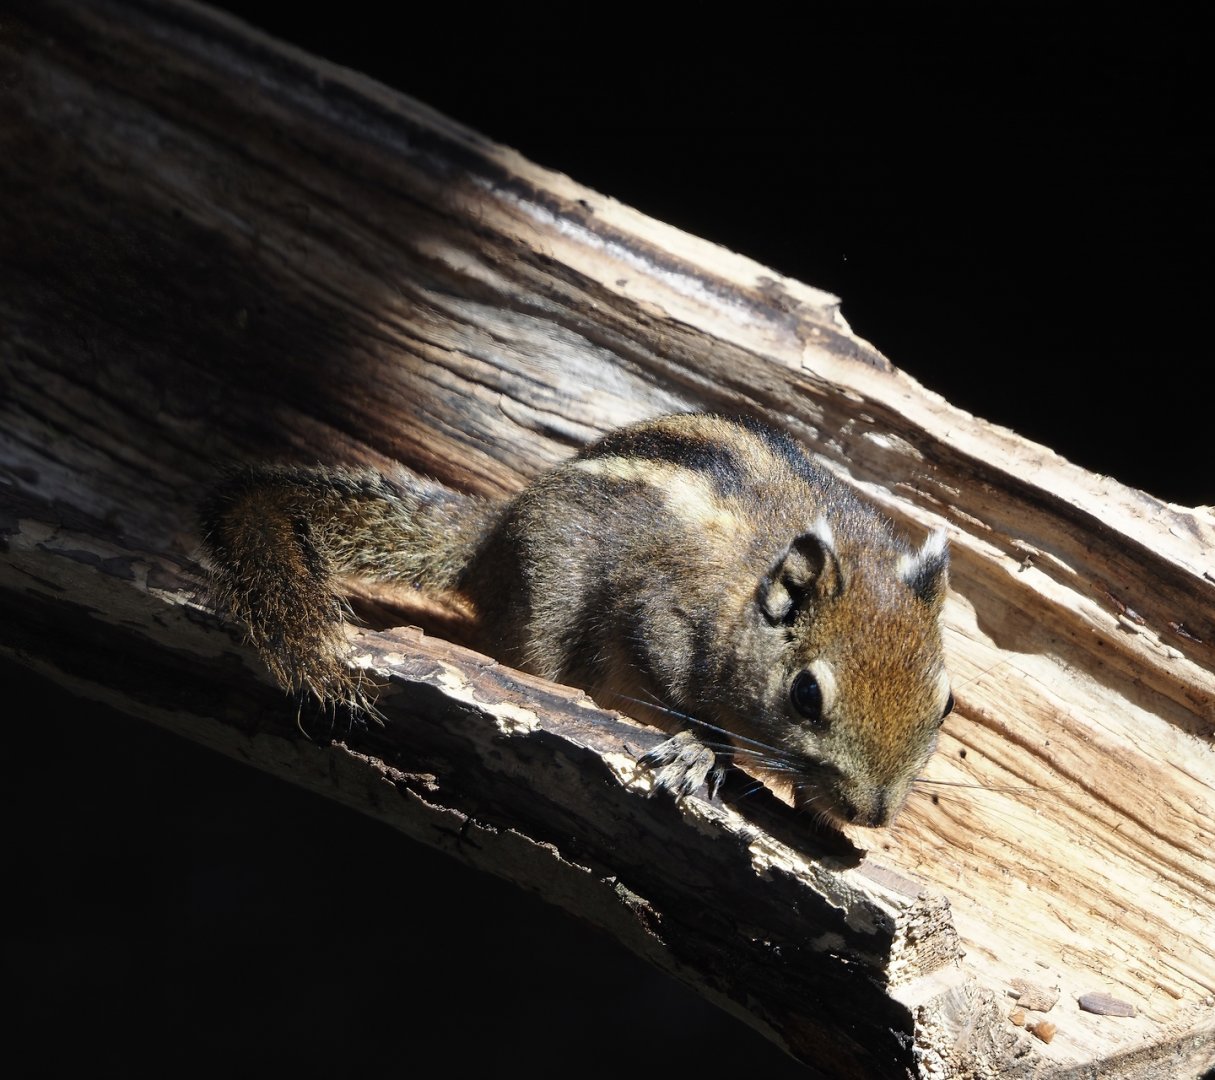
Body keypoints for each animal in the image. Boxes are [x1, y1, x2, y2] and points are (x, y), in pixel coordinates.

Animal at [199, 412, 952, 828]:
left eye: (945, 705)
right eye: (805, 695)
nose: (873, 814)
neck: (743, 593)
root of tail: (494, 535)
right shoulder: (660, 619)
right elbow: (673, 692)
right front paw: (702, 749)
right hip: (545, 611)